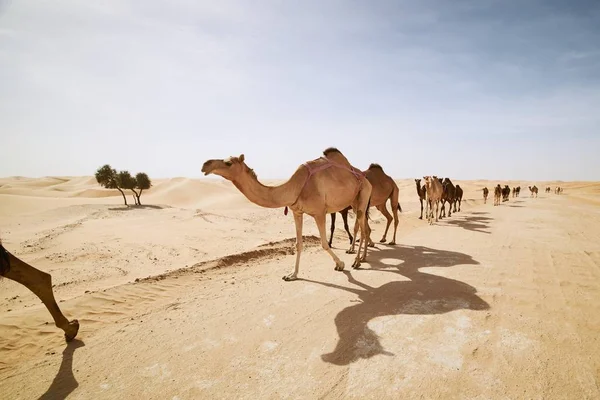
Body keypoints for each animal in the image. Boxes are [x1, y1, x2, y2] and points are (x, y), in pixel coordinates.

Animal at [202, 148, 370, 282]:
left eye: (228, 163)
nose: (205, 164)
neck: (296, 187)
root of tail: (365, 177)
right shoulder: (297, 212)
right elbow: (298, 244)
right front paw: (292, 275)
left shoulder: (319, 212)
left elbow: (323, 243)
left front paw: (340, 264)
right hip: (354, 202)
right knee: (365, 229)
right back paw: (361, 258)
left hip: (363, 195)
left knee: (362, 229)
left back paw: (357, 261)